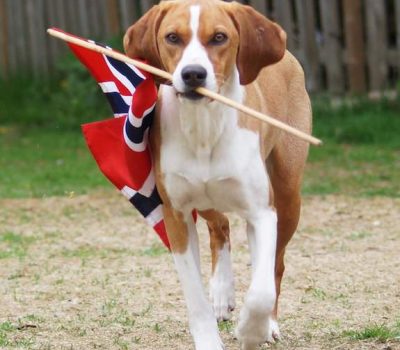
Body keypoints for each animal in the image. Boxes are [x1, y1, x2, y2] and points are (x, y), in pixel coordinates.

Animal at [123, 1, 310, 348]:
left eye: (219, 37)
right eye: (172, 37)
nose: (193, 73)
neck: (205, 128)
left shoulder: (262, 212)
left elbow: (262, 289)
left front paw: (252, 330)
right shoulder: (176, 215)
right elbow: (194, 297)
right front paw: (210, 336)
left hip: (288, 194)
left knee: (276, 264)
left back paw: (268, 323)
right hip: (205, 196)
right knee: (220, 224)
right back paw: (222, 292)